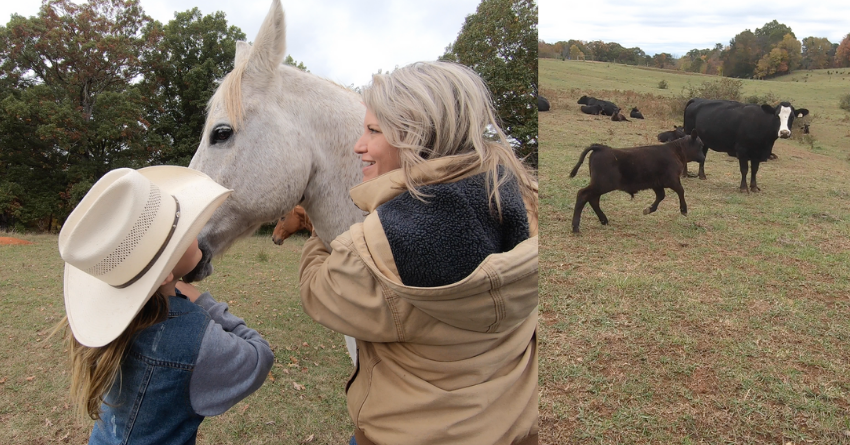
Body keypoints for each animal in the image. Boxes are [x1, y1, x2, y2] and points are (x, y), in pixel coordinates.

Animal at [568, 130, 704, 232]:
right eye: (700, 145)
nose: (703, 158)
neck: (675, 151)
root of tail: (601, 148)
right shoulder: (672, 180)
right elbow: (681, 191)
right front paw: (684, 210)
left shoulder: (657, 183)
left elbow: (661, 196)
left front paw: (648, 209)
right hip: (601, 184)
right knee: (583, 195)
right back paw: (576, 227)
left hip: (599, 186)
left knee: (593, 199)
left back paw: (603, 220)